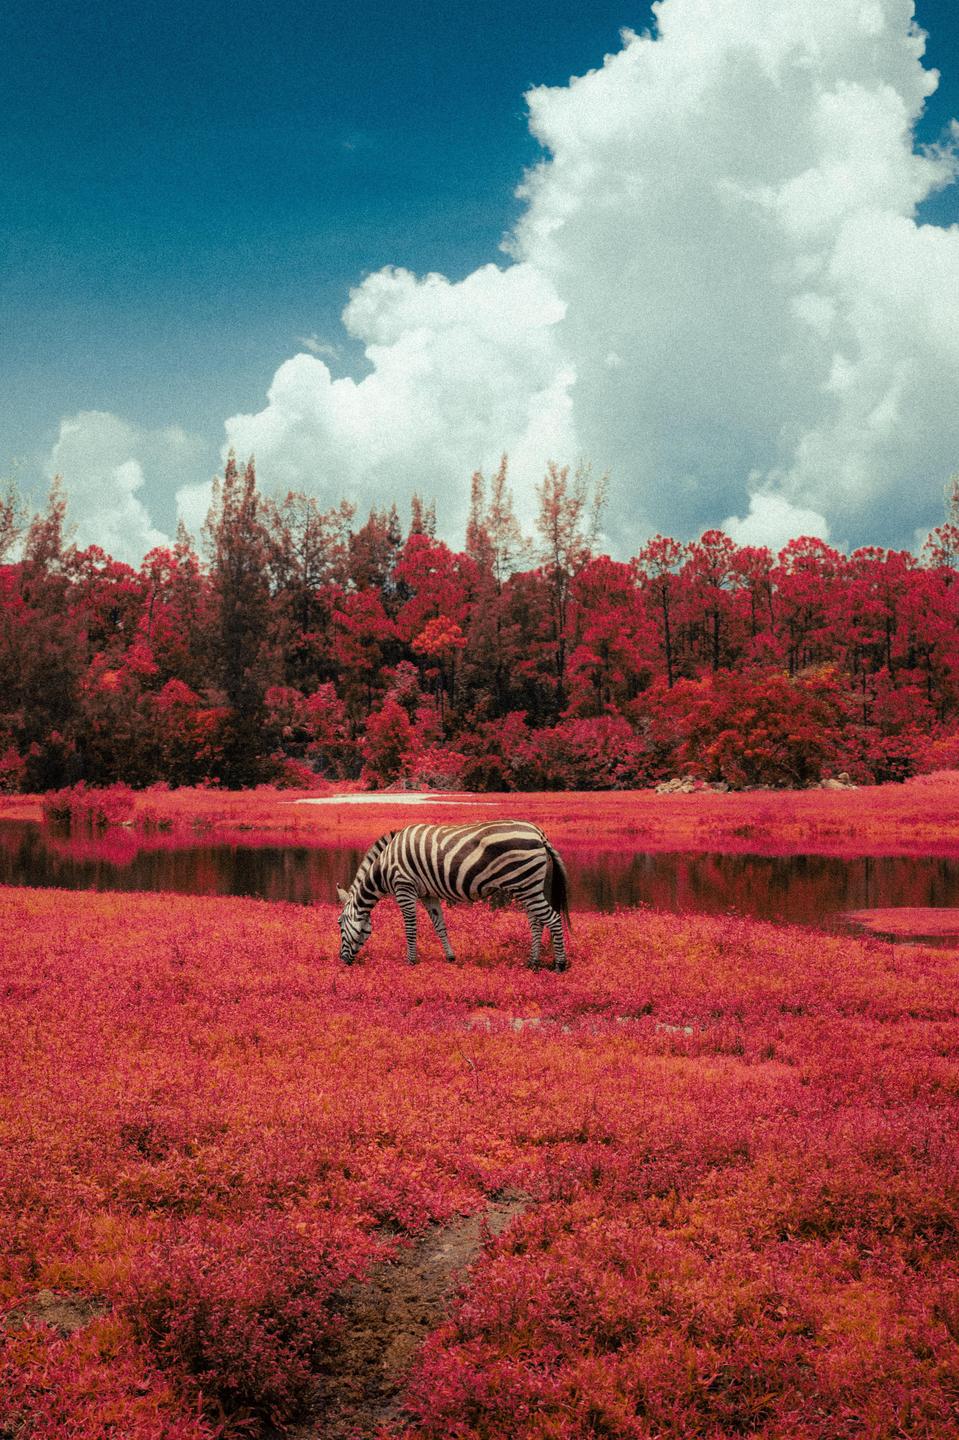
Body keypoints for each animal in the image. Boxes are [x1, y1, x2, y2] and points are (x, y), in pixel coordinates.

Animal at [336, 821, 571, 970]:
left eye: (339, 924)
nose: (342, 961)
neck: (384, 866)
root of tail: (538, 832)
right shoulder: (428, 894)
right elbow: (439, 925)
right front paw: (450, 957)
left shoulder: (404, 888)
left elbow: (410, 928)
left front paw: (410, 961)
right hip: (528, 886)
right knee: (537, 921)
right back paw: (533, 963)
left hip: (524, 883)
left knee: (553, 919)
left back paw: (559, 964)